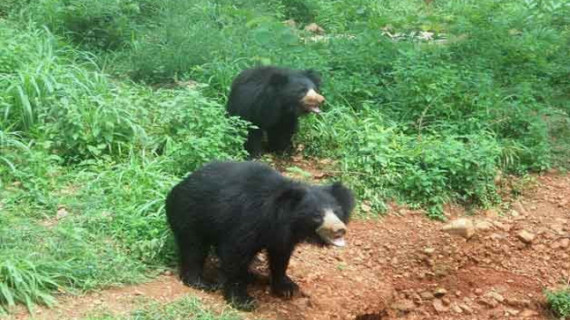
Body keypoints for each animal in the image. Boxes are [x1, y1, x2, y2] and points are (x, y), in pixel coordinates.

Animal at [162, 160, 352, 310]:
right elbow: (235, 254)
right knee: (193, 247)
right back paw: (202, 282)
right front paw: (243, 300)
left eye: (337, 212)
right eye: (317, 216)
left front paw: (287, 288)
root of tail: (179, 186)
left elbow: (280, 255)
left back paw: (253, 275)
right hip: (190, 214)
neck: (278, 217)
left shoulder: (282, 234)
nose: (340, 229)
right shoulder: (247, 220)